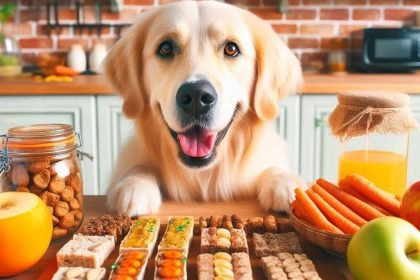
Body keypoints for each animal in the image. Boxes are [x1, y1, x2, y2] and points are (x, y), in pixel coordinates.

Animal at [104, 0, 304, 217]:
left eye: (231, 49)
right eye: (165, 48)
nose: (196, 97)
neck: (202, 175)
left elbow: (272, 168)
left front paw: (285, 183)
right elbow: (138, 166)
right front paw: (134, 185)